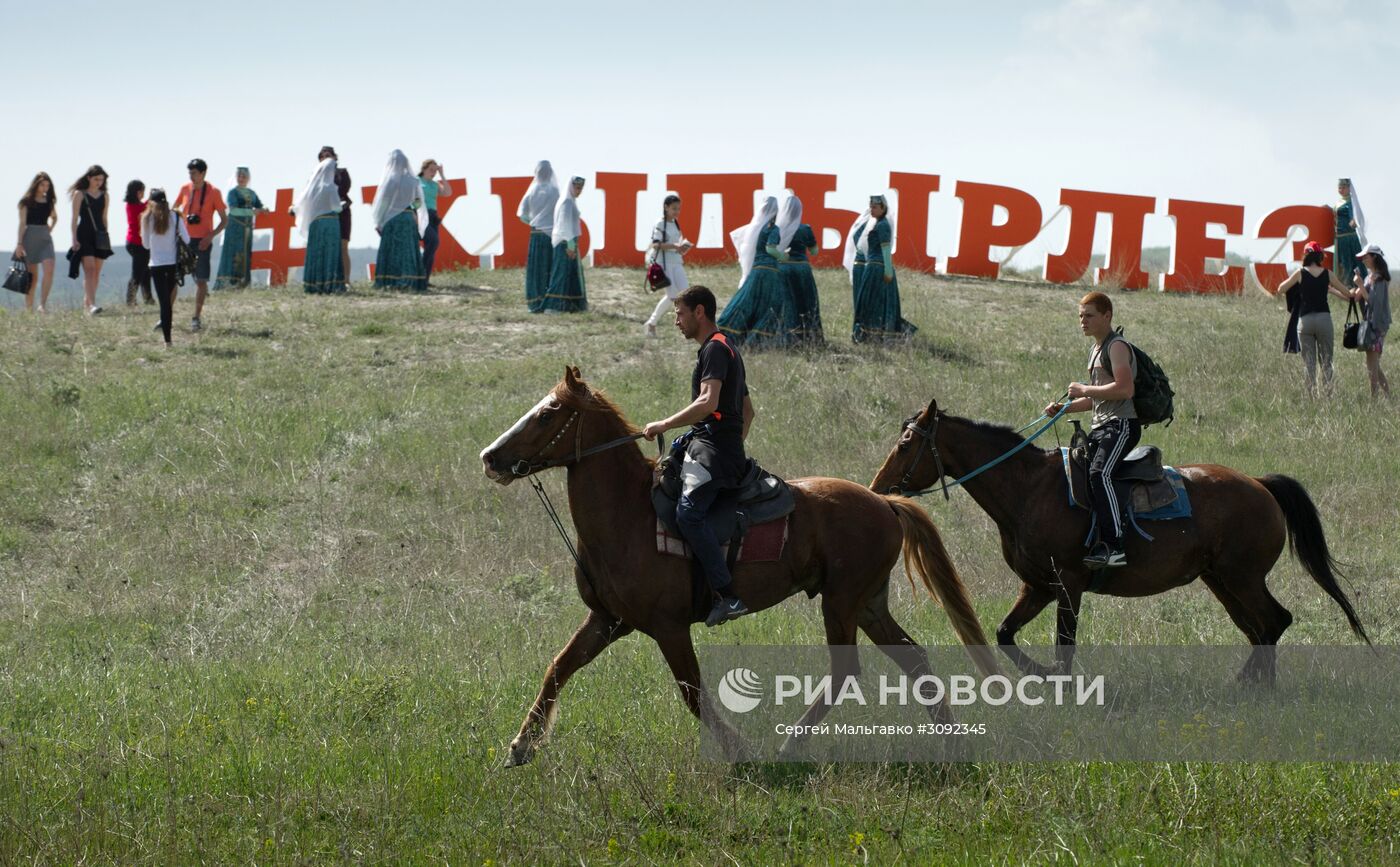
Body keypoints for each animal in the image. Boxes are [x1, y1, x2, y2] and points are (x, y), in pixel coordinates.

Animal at [481, 366, 996, 767]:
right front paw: (521, 746)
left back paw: (791, 745)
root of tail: (885, 503)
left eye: (547, 414)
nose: (490, 457)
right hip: (868, 603)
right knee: (913, 657)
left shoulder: (668, 627)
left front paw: (740, 750)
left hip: (842, 601)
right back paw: (952, 743)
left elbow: (693, 692)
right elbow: (559, 668)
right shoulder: (607, 620)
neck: (628, 513)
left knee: (845, 671)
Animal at [868, 400, 1372, 686]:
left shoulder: (1068, 584)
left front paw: (1058, 682)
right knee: (1260, 629)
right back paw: (1255, 687)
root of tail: (1260, 484)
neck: (1029, 488)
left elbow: (1064, 644)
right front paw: (1038, 676)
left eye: (907, 442)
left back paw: (1249, 686)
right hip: (1222, 582)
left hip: (1241, 578)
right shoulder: (1038, 586)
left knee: (1274, 622)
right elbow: (1005, 633)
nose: (878, 488)